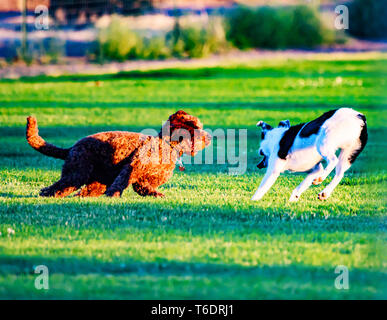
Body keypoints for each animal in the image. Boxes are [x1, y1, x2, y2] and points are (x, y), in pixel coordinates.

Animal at [26, 112, 212, 198]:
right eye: (196, 127)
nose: (210, 136)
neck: (166, 145)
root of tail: (72, 148)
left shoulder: (144, 179)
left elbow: (143, 187)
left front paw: (156, 195)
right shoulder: (133, 167)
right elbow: (122, 182)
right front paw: (114, 195)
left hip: (98, 179)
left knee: (84, 191)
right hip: (77, 172)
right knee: (57, 187)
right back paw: (47, 194)